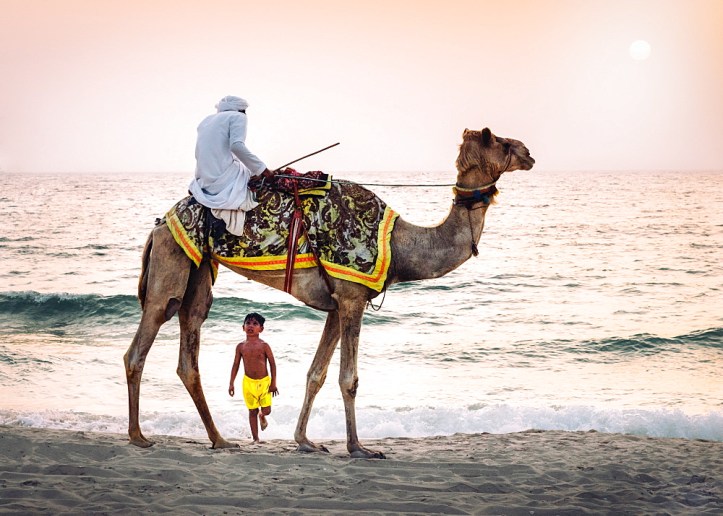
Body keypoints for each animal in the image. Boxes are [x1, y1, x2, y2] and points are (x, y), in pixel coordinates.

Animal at [123, 127, 534, 458]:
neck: (398, 245)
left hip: (198, 271)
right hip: (171, 263)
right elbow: (348, 378)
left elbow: (316, 374)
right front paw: (359, 448)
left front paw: (305, 441)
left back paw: (220, 440)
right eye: (500, 140)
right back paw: (138, 436)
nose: (529, 153)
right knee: (143, 340)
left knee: (189, 348)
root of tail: (160, 224)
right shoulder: (352, 298)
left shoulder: (338, 304)